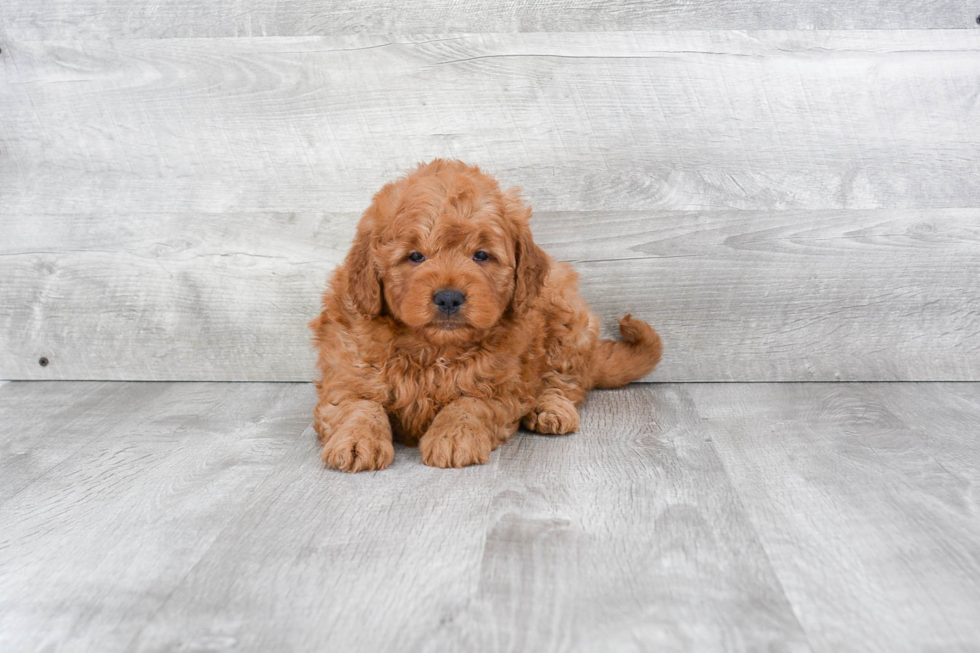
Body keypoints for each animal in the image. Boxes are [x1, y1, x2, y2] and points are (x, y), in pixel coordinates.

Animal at [310, 160, 664, 472]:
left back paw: (550, 408)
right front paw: (356, 440)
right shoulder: (348, 371)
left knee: (565, 382)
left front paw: (453, 436)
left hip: (568, 323)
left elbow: (469, 404)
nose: (449, 297)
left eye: (481, 255)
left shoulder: (502, 386)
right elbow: (358, 405)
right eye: (415, 256)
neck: (434, 349)